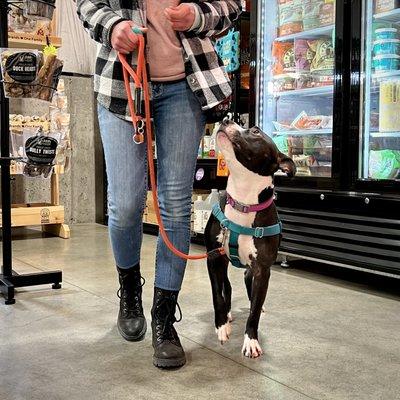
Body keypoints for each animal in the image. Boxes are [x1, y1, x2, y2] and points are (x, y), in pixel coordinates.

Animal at [205, 120, 296, 358]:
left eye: (255, 131)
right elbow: (217, 294)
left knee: (249, 287)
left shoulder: (262, 269)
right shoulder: (213, 258)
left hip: (251, 270)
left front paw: (251, 340)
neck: (244, 201)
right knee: (227, 287)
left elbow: (254, 309)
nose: (226, 120)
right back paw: (227, 314)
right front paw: (221, 325)